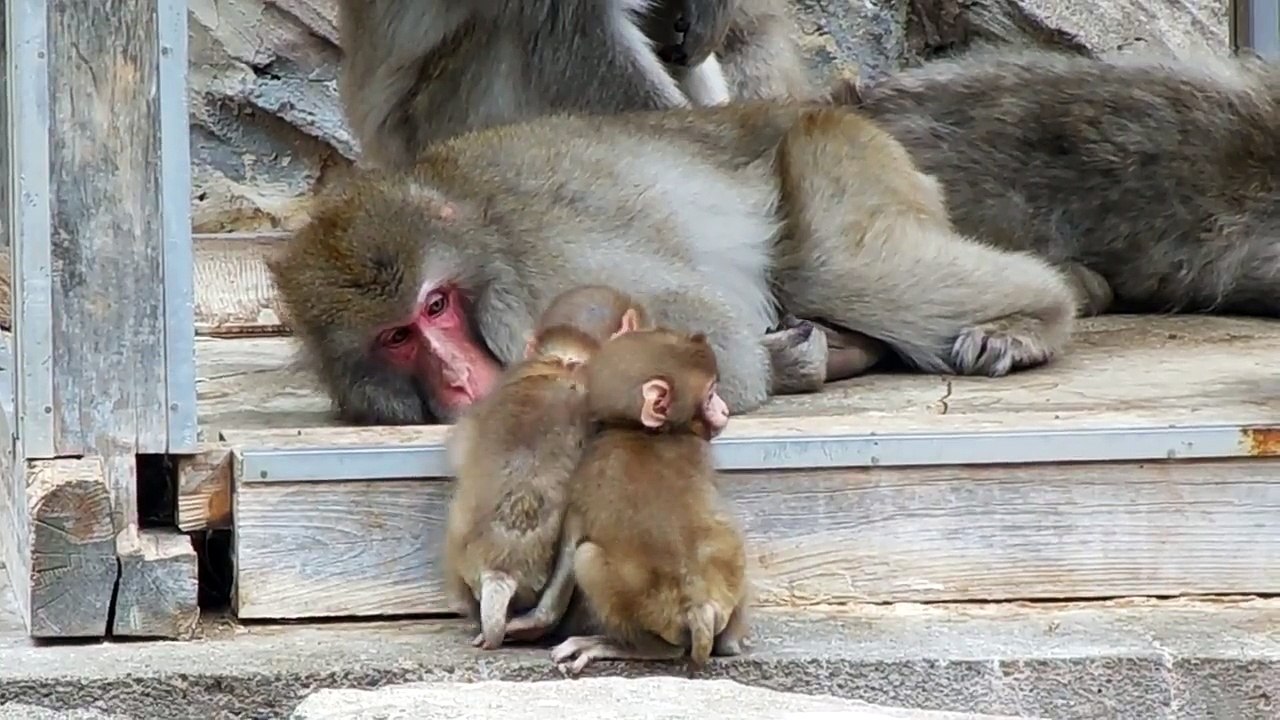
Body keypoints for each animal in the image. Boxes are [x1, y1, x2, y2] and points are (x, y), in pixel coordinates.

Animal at [267, 102, 1078, 427]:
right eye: (397, 337)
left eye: (436, 306)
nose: (458, 377)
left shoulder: (552, 270)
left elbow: (713, 336)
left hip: (842, 154)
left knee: (832, 267)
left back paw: (1034, 318)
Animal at [547, 328, 751, 673]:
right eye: (711, 395)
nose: (724, 410)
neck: (641, 432)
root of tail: (697, 607)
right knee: (587, 556)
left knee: (585, 556)